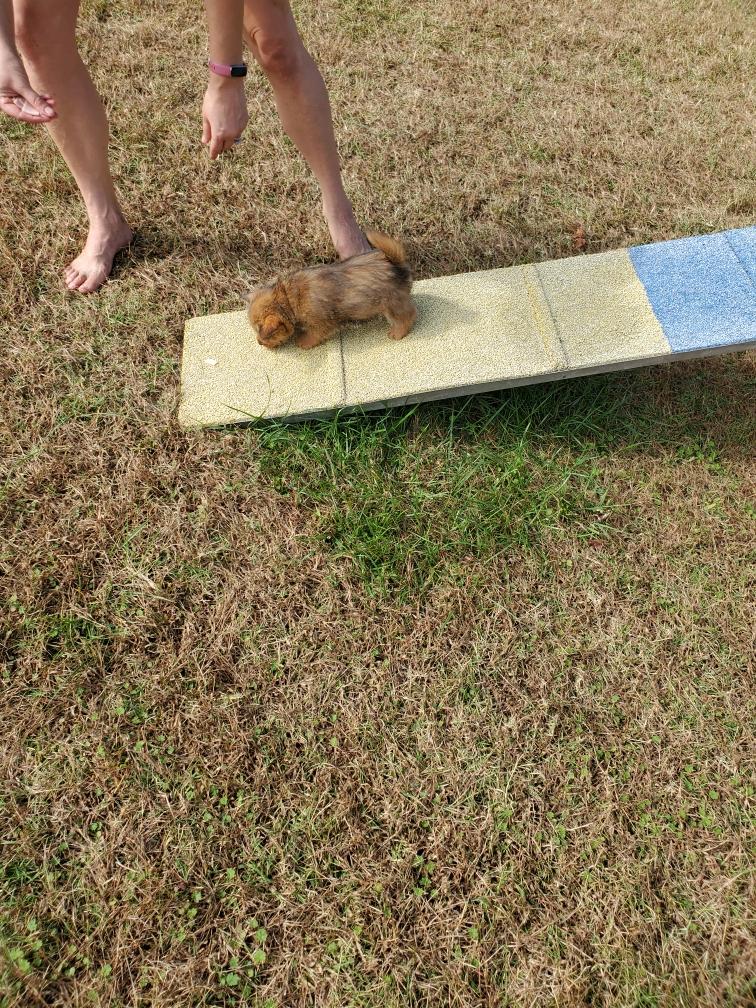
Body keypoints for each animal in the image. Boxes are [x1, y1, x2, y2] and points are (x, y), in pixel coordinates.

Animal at [247, 231, 416, 350]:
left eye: (262, 331)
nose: (259, 342)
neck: (288, 297)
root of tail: (397, 266)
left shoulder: (321, 324)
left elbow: (314, 335)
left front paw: (304, 342)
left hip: (393, 306)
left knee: (407, 316)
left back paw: (397, 333)